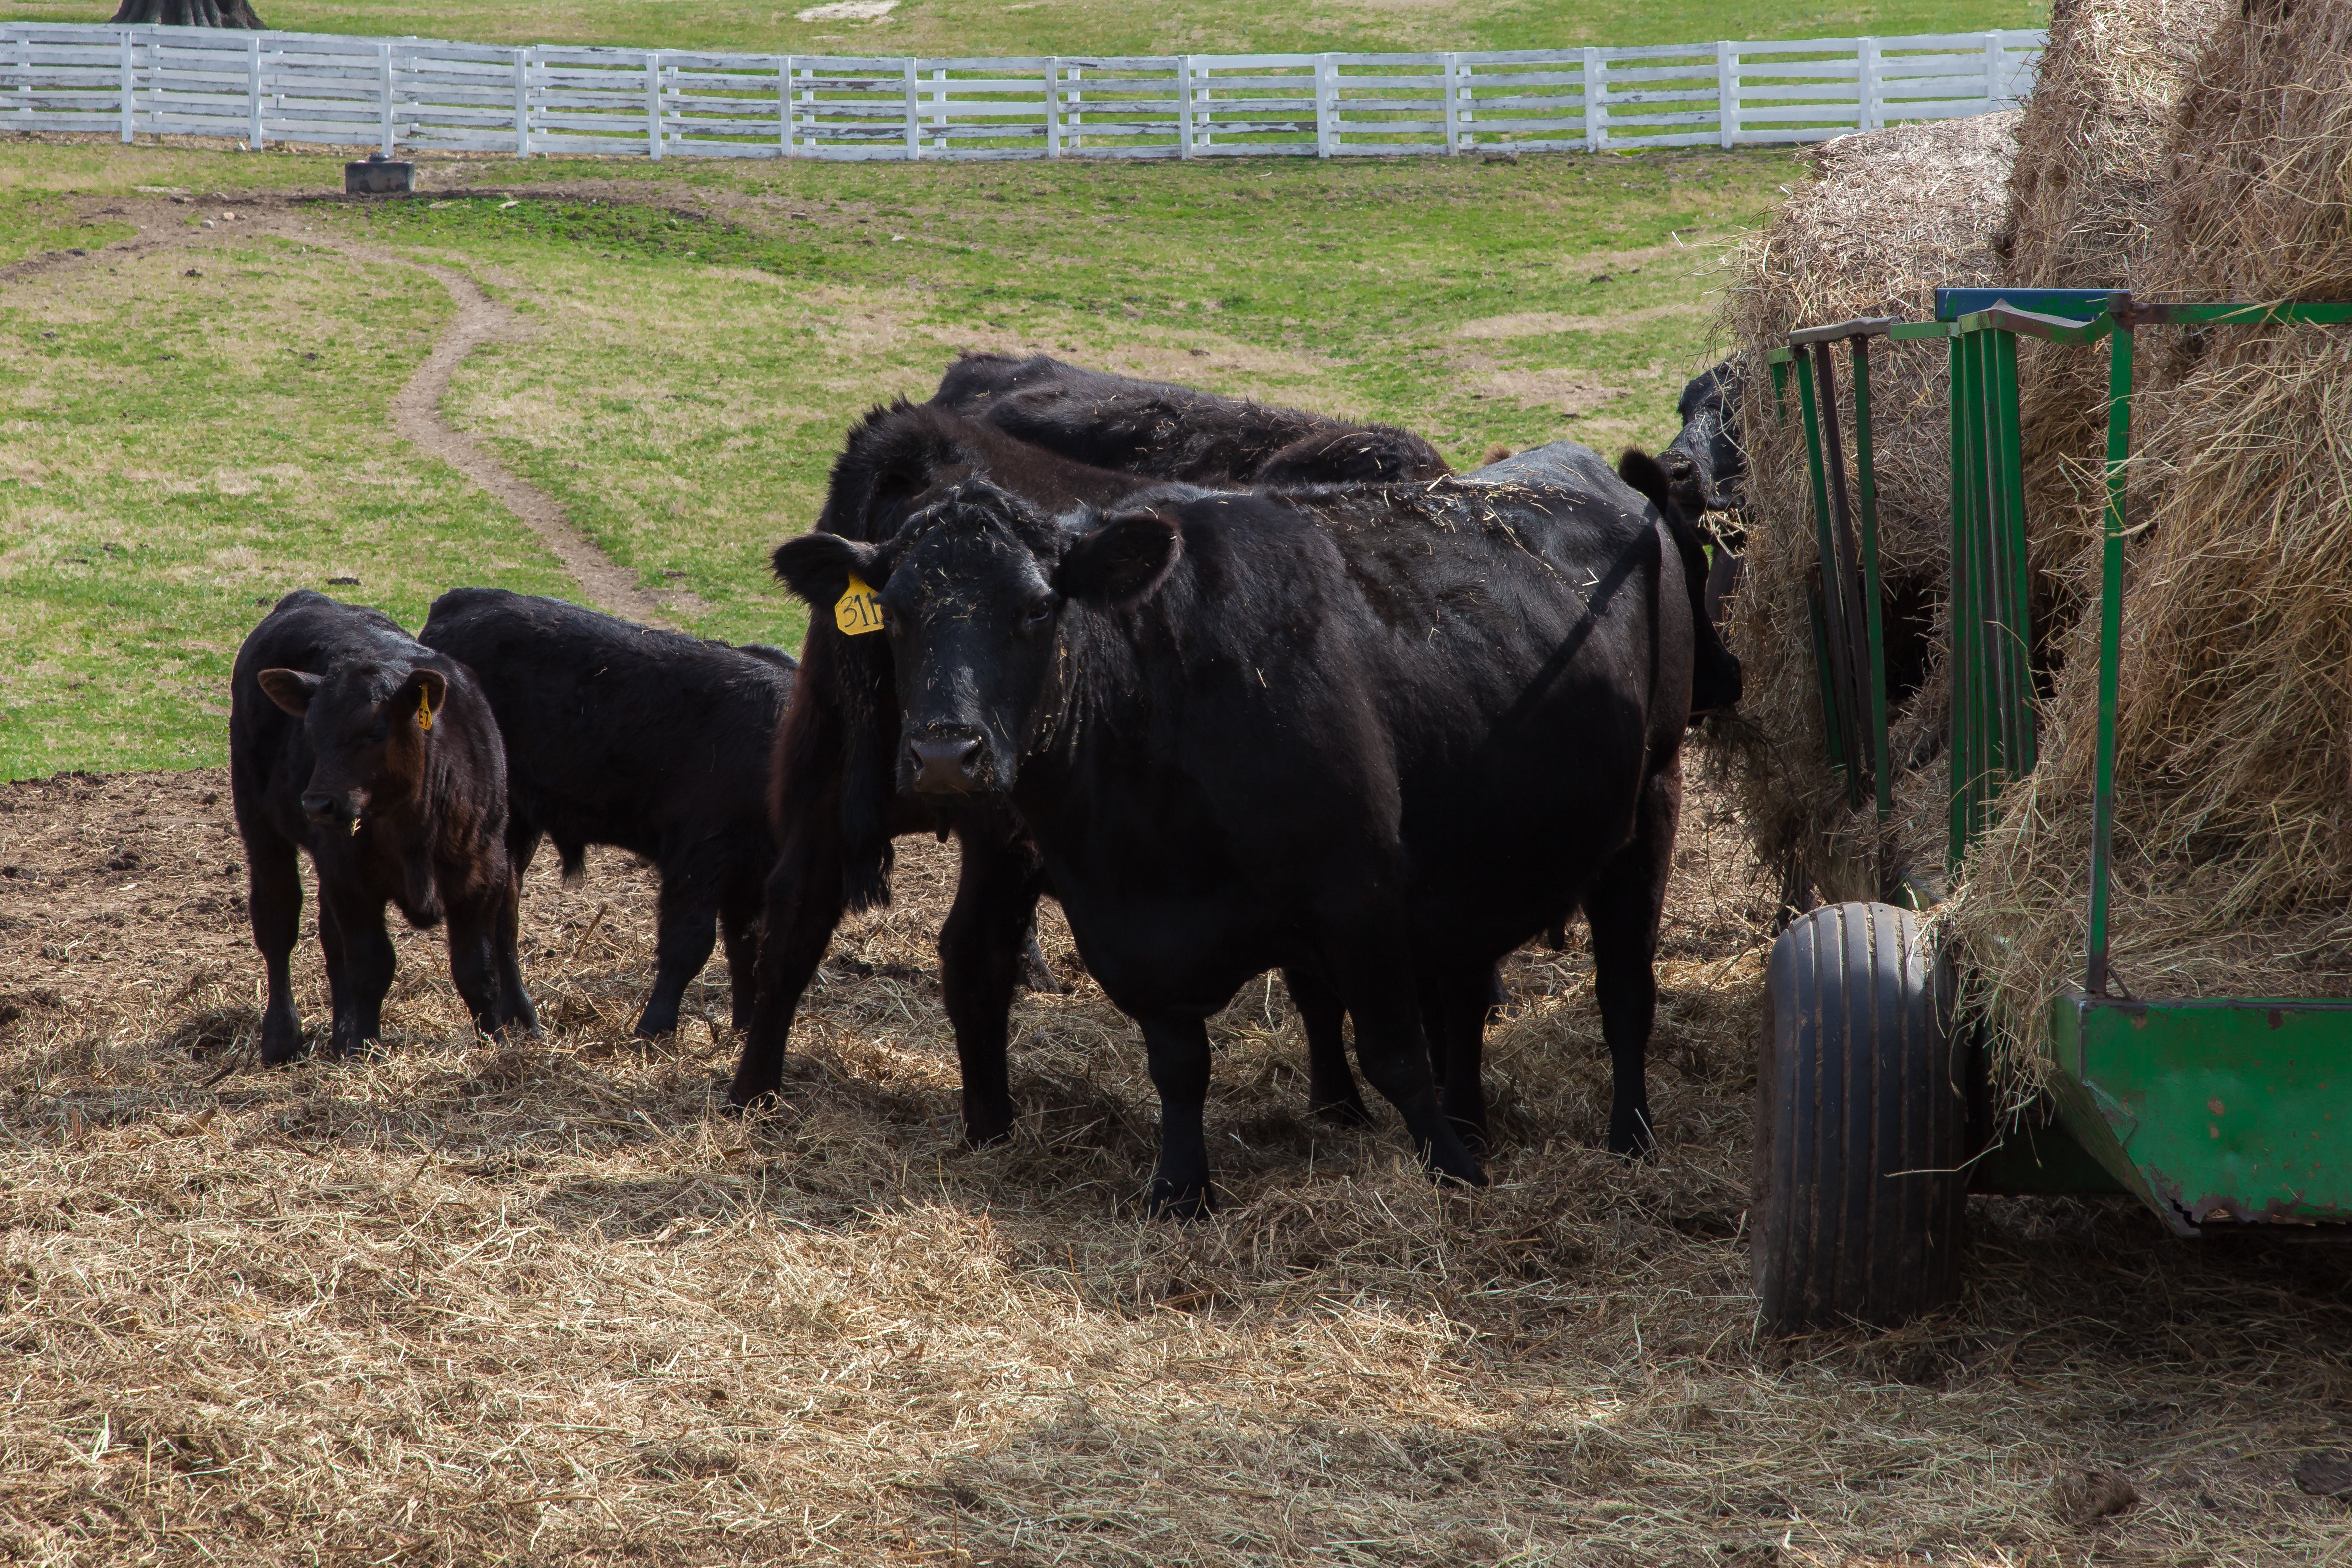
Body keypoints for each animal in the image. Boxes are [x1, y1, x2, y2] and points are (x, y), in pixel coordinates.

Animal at [230, 590, 535, 1064]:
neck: (415, 826)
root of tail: (307, 598)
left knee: (329, 938)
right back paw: (283, 1037)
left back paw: (340, 1032)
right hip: (260, 824)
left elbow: (477, 969)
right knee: (278, 920)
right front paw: (365, 1047)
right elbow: (371, 965)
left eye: (375, 730)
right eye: (311, 730)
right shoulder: (352, 879)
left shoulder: (482, 874)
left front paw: (495, 1041)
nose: (317, 802)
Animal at [419, 588, 799, 1040]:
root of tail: (461, 599)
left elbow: (747, 945)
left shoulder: (753, 872)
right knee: (500, 914)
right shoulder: (698, 856)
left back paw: (521, 1017)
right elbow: (689, 942)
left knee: (504, 907)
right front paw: (654, 1028)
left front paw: (744, 1027)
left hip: (519, 826)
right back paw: (524, 1016)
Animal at [767, 438, 1698, 1216]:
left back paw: (1628, 1138)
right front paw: (1180, 1190)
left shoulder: (1357, 888)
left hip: (1650, 794)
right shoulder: (1128, 926)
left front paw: (1454, 1173)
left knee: (1623, 990)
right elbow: (1179, 1066)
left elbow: (1393, 1049)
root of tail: (1588, 466)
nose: (943, 753)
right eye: (893, 612)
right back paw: (1477, 1117)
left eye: (1035, 608)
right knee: (1469, 994)